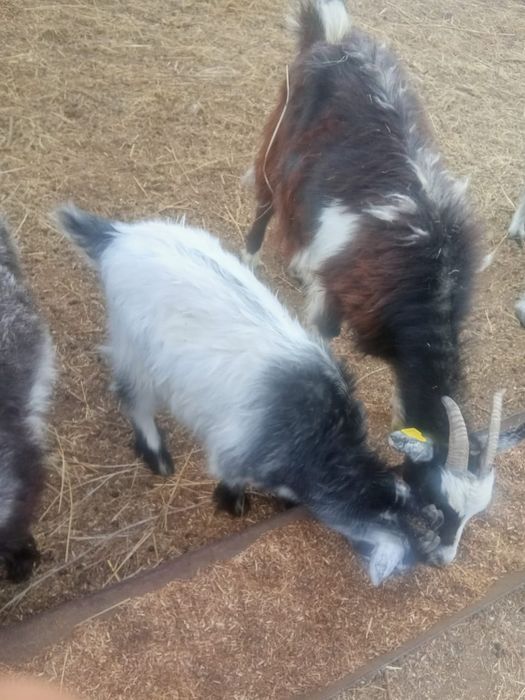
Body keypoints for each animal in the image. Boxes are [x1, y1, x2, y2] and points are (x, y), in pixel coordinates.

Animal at [56, 203, 456, 585]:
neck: (321, 438)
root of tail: (117, 237)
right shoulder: (235, 449)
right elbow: (231, 475)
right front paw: (233, 503)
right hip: (135, 348)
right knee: (132, 396)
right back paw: (157, 456)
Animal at [242, 0, 524, 565]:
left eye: (475, 514)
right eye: (437, 496)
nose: (444, 558)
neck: (426, 278)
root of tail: (333, 39)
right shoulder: (338, 292)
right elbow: (324, 342)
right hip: (277, 141)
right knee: (264, 198)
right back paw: (249, 255)